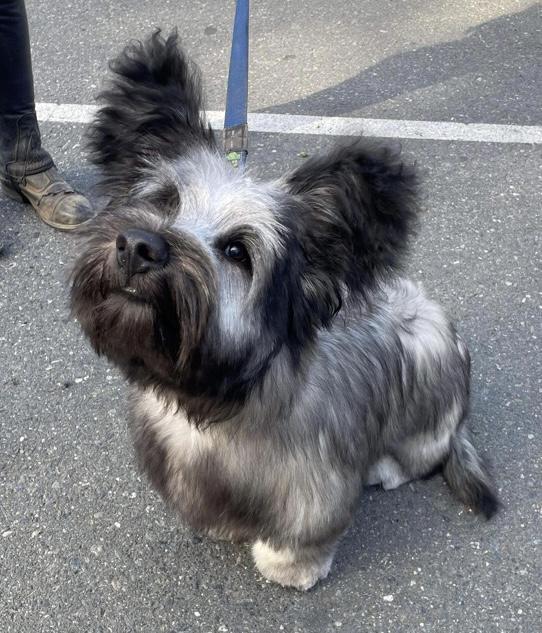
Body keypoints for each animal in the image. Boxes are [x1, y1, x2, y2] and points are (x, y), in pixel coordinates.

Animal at [72, 32, 502, 592]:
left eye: (237, 251)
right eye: (164, 201)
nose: (139, 247)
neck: (217, 402)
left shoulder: (310, 493)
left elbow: (299, 538)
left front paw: (289, 569)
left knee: (421, 455)